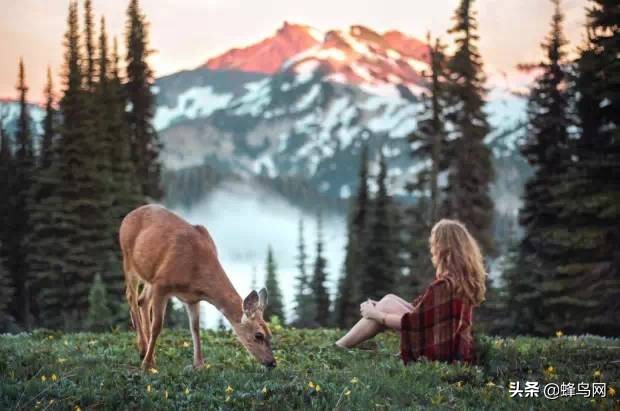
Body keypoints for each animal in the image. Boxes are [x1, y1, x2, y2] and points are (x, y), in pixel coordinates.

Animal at [120, 205, 274, 370]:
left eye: (270, 333)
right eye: (258, 335)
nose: (272, 362)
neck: (195, 271)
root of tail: (128, 216)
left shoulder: (192, 298)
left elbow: (195, 328)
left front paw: (199, 364)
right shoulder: (162, 285)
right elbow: (158, 326)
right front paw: (147, 365)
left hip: (150, 275)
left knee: (142, 300)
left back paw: (149, 351)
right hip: (128, 260)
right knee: (131, 296)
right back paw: (144, 350)